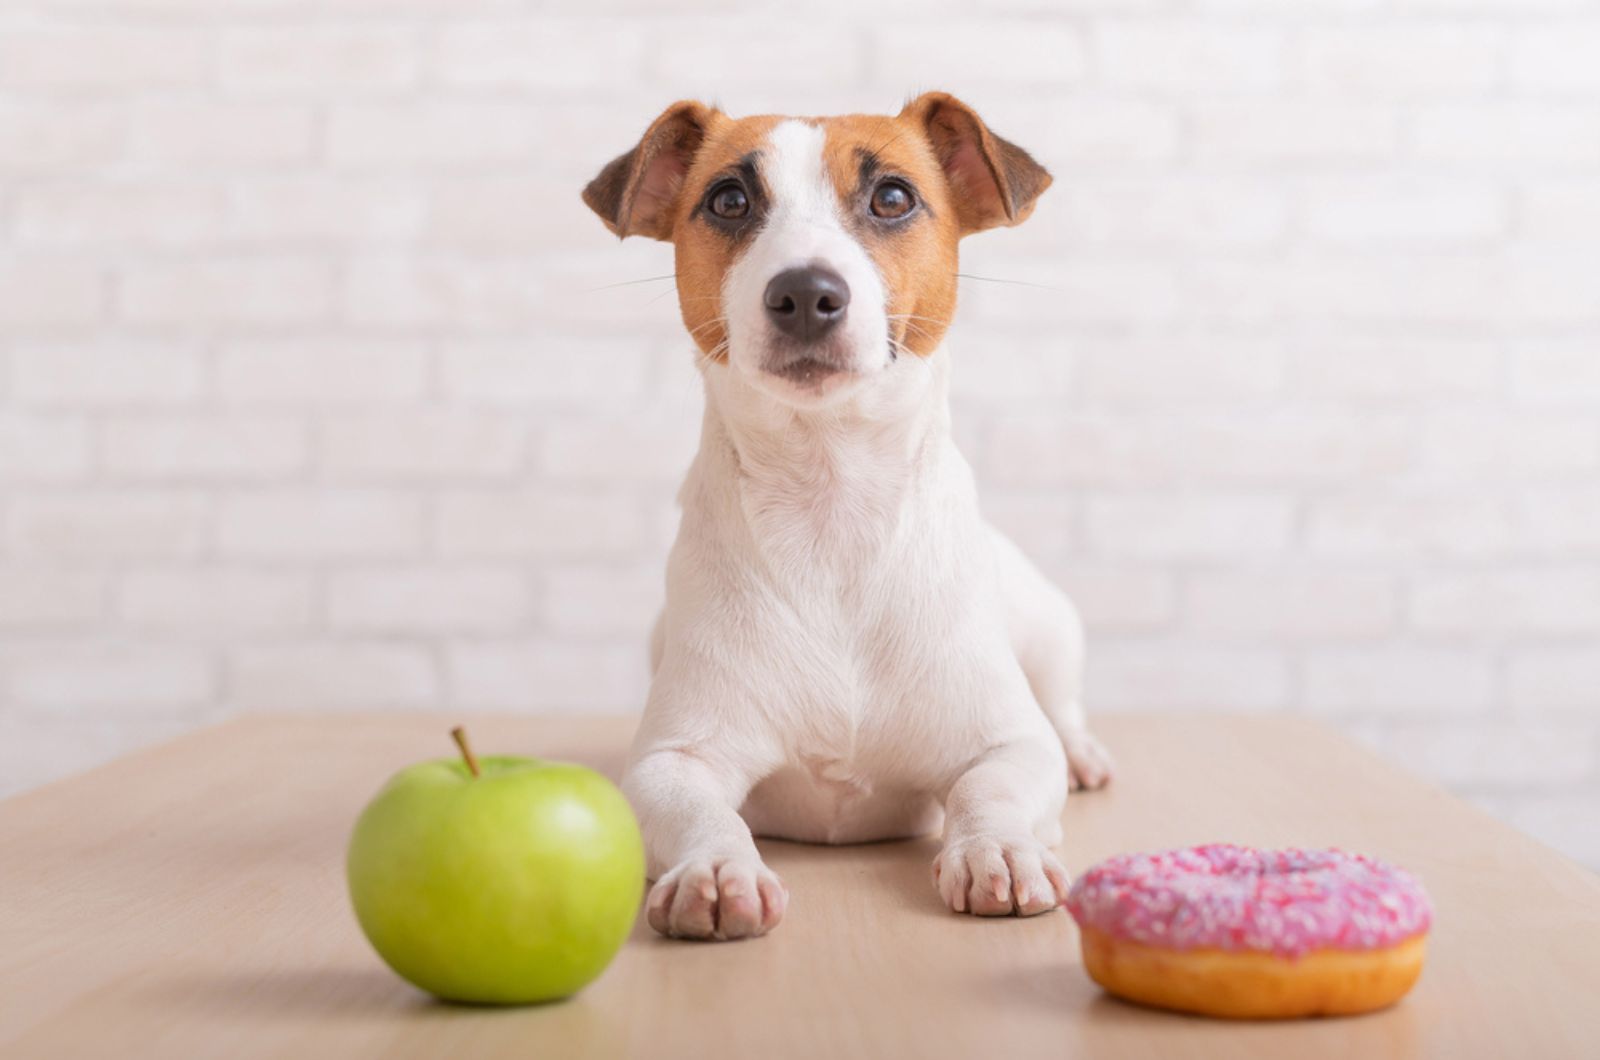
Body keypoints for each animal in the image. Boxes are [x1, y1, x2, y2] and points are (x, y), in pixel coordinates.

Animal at [579, 89, 1113, 941]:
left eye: (892, 197)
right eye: (729, 200)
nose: (805, 292)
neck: (830, 505)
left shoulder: (1007, 742)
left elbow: (991, 786)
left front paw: (996, 849)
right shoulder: (674, 758)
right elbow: (698, 810)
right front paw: (716, 870)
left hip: (1049, 626)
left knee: (1061, 708)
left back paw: (1086, 753)